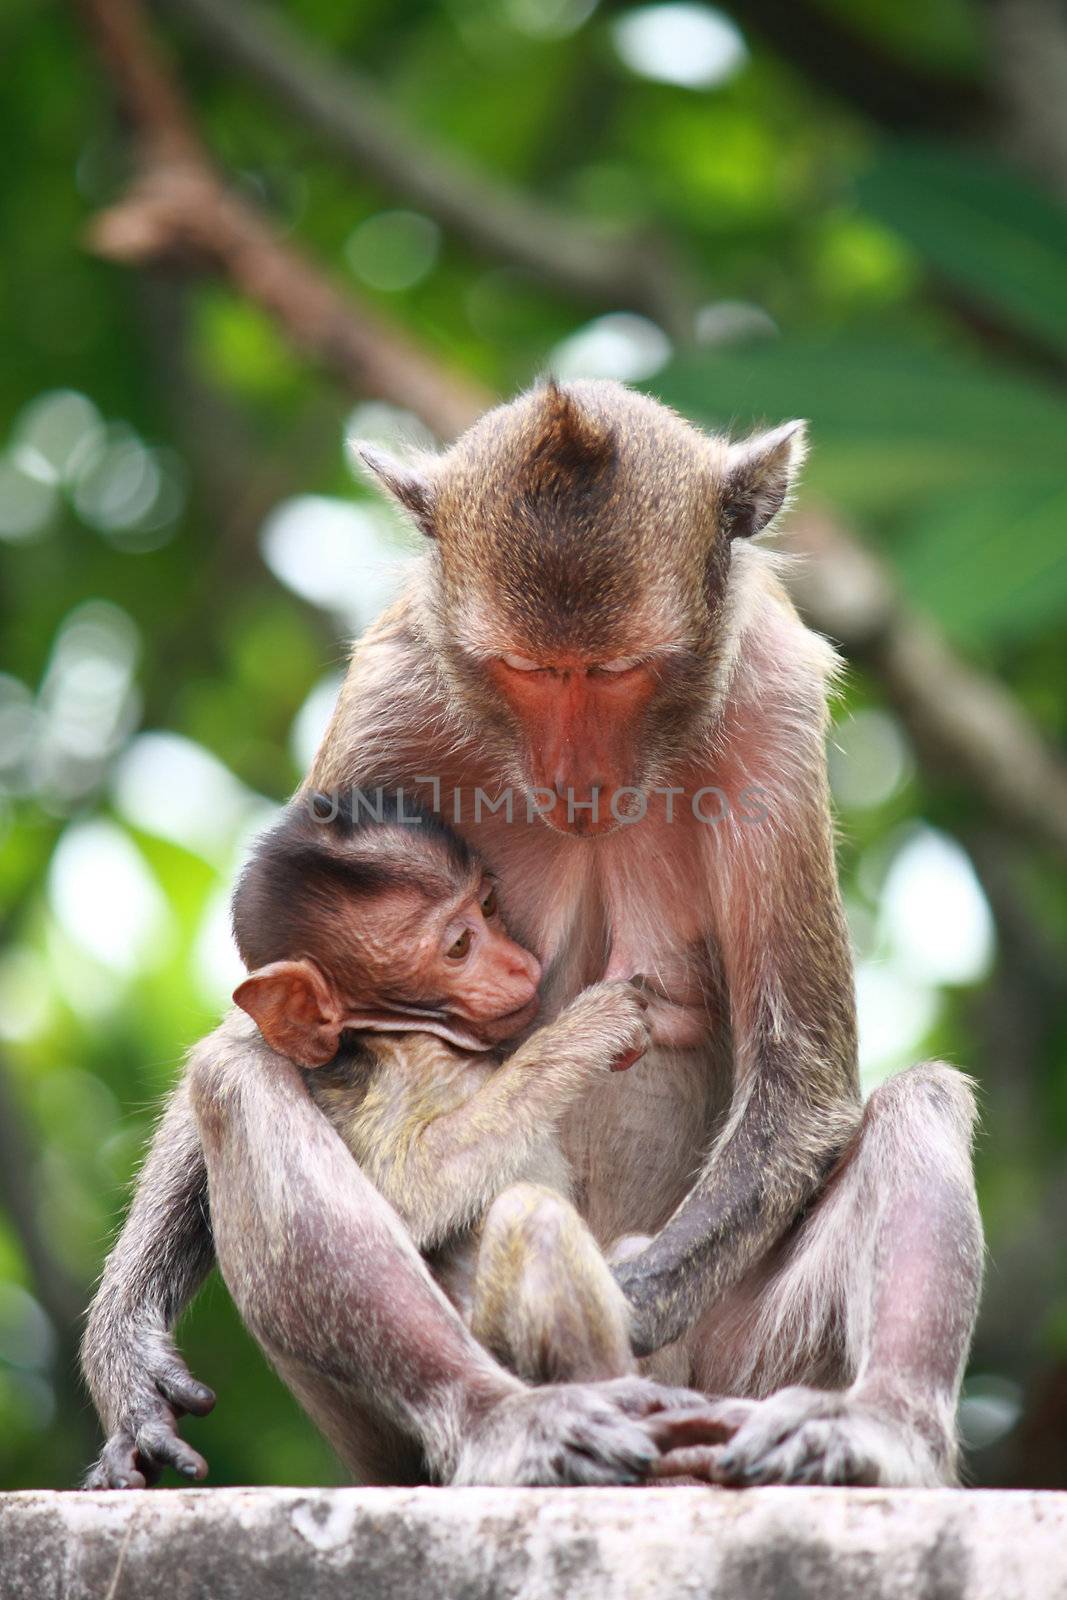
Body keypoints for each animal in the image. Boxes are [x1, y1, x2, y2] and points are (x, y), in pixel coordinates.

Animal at [230, 793, 655, 1382]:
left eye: (490, 905)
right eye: (458, 946)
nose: (519, 964)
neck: (408, 1030)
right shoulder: (406, 1072)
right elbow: (402, 1196)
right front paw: (590, 1028)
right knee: (533, 1218)